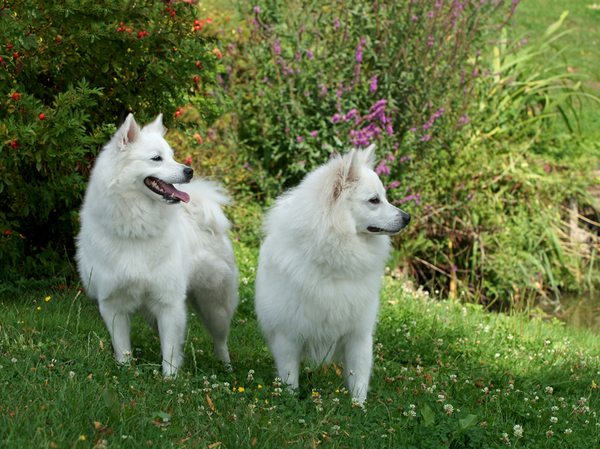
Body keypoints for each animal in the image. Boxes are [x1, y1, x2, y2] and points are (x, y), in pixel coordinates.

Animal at [73, 114, 237, 376]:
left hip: (215, 305)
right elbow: (123, 347)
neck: (135, 230)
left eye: (172, 156)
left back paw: (226, 367)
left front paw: (170, 378)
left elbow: (171, 349)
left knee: (220, 340)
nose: (189, 171)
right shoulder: (112, 304)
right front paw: (126, 371)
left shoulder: (168, 302)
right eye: (156, 158)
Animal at [255, 145, 410, 404]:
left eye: (385, 197)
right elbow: (289, 377)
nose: (407, 217)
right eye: (374, 200)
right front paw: (291, 401)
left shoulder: (359, 336)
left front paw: (359, 407)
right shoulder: (288, 336)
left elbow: (359, 378)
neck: (333, 261)